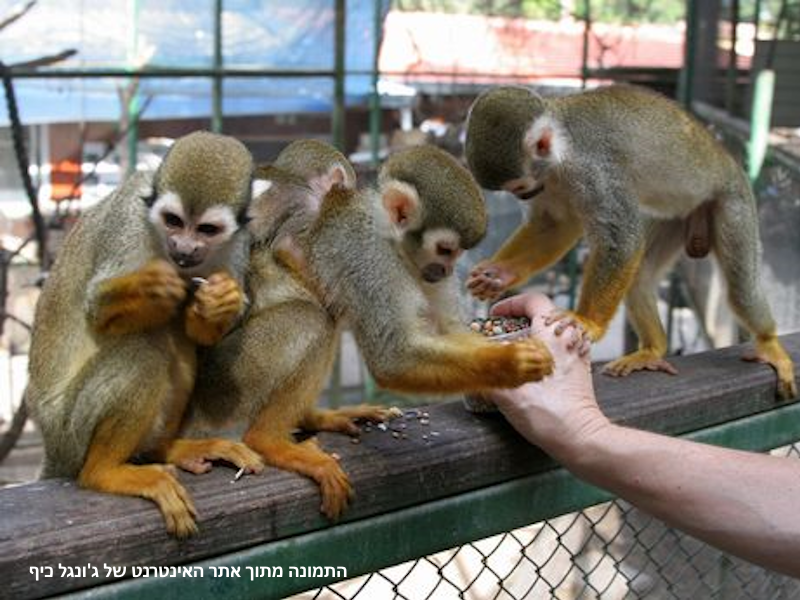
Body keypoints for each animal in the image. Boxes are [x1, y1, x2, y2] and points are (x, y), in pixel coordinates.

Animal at [27, 132, 262, 540]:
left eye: (206, 230)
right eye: (173, 221)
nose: (183, 249)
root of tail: (51, 445)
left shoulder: (239, 241)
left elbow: (197, 330)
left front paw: (221, 301)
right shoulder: (127, 220)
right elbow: (95, 306)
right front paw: (152, 286)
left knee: (172, 336)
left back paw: (167, 449)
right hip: (69, 431)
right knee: (143, 349)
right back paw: (104, 472)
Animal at [304, 144, 552, 396]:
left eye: (457, 253)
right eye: (444, 250)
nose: (447, 271)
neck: (394, 248)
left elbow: (449, 330)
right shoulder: (369, 262)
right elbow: (393, 359)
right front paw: (508, 361)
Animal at [466, 84, 796, 400]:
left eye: (519, 187)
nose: (525, 196)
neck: (560, 154)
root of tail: (729, 162)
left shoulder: (590, 170)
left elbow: (620, 240)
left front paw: (586, 322)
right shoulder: (550, 182)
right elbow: (554, 225)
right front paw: (498, 274)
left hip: (733, 202)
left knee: (741, 288)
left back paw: (768, 342)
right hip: (676, 214)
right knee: (640, 276)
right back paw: (653, 350)